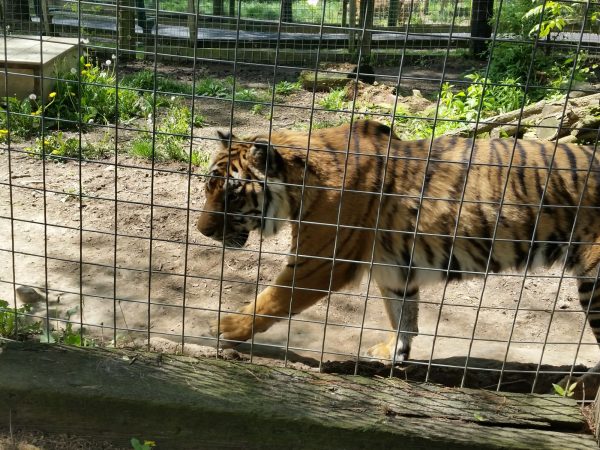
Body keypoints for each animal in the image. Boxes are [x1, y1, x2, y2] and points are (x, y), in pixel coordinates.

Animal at [199, 118, 600, 394]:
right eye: (207, 187)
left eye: (232, 194)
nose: (202, 231)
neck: (301, 185)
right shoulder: (393, 267)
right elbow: (403, 313)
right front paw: (394, 351)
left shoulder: (320, 262)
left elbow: (272, 300)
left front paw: (224, 328)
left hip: (594, 278)